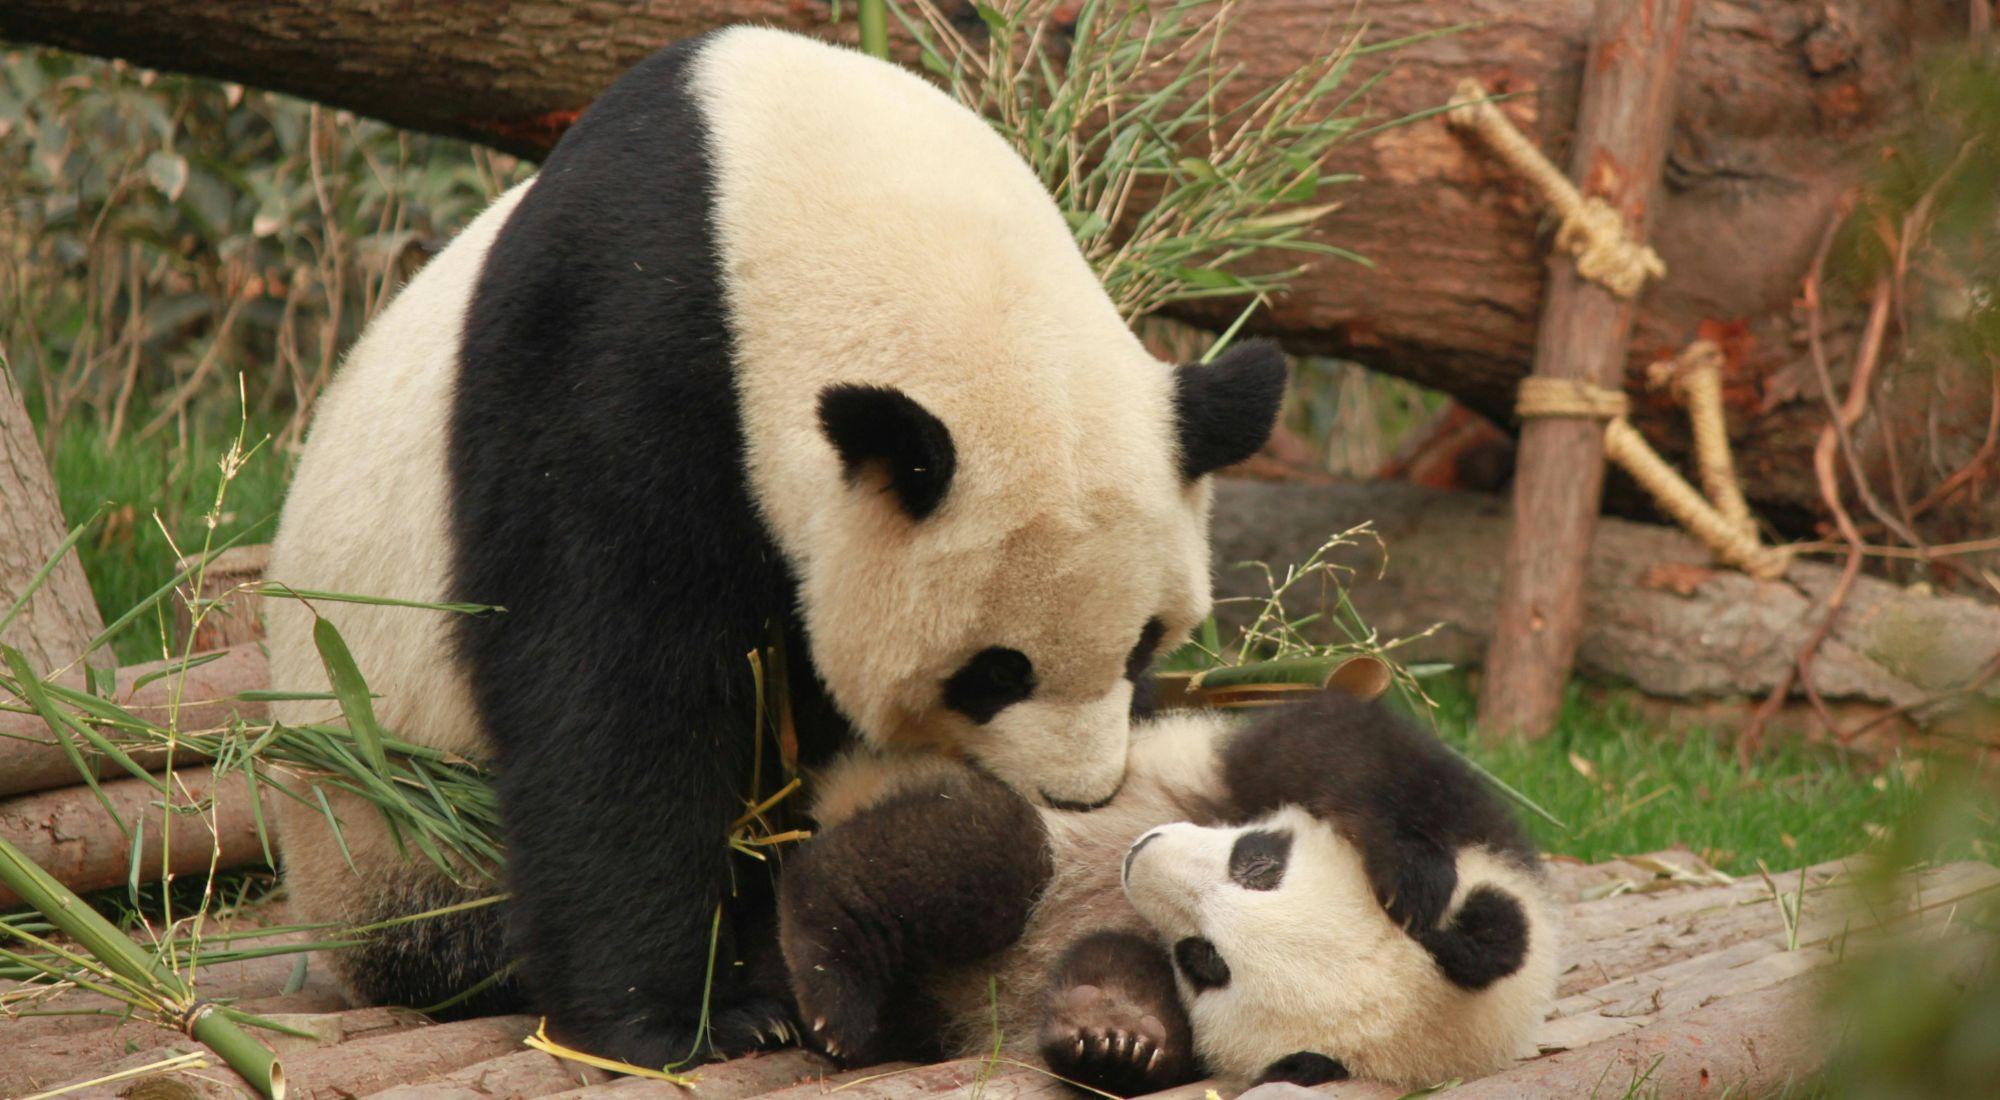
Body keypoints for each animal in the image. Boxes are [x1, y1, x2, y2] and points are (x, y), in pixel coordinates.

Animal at [261, 26, 1288, 1067]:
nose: (1078, 797)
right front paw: (676, 1020)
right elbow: (611, 692)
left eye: (1145, 644)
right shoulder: (615, 353)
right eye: (994, 671)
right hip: (387, 817)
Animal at [778, 693, 1557, 1094]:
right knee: (986, 854)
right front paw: (1408, 871)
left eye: (1204, 960)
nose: (1141, 854)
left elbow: (1127, 983)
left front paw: (1115, 1034)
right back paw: (828, 981)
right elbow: (1340, 744)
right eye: (1258, 863)